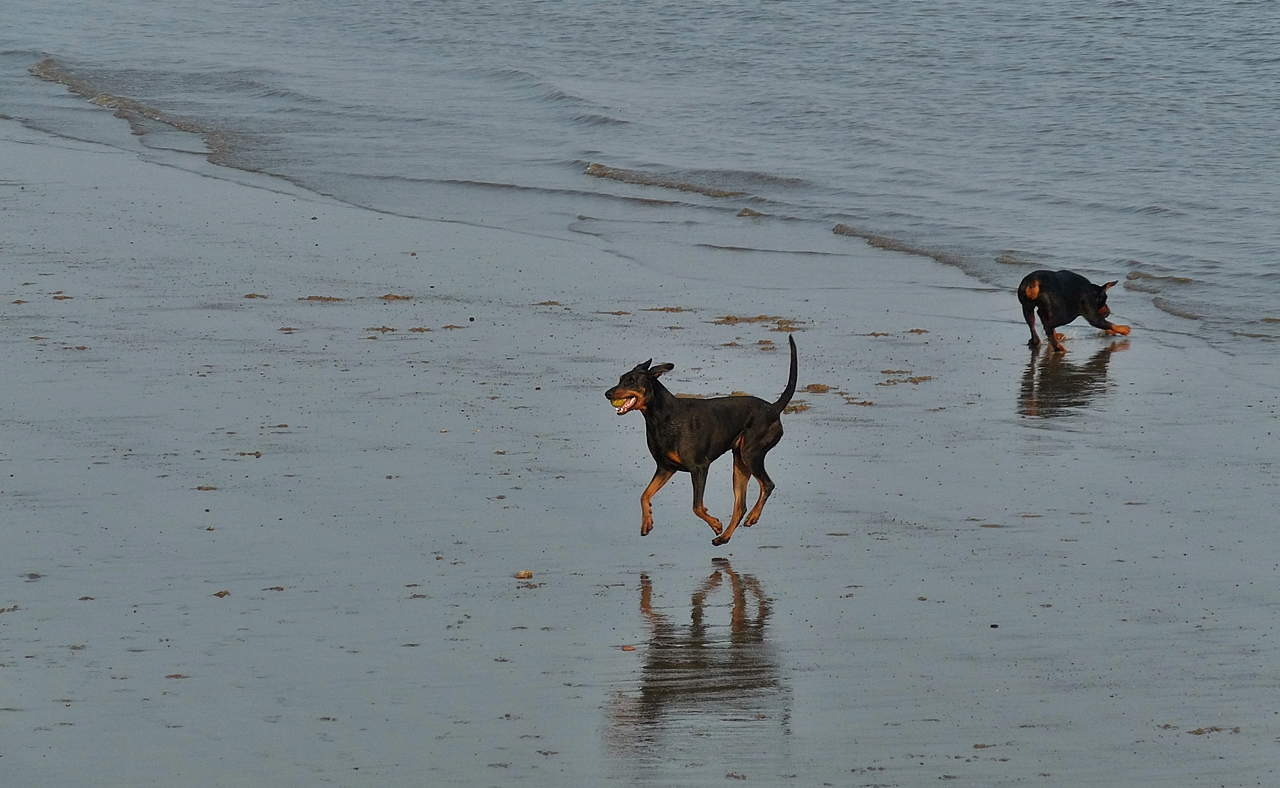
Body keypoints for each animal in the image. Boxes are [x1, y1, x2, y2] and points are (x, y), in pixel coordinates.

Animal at [604, 335, 793, 544]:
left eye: (631, 381)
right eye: (620, 379)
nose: (608, 393)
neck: (661, 417)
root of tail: (774, 409)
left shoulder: (700, 467)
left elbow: (697, 506)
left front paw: (715, 524)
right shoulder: (665, 467)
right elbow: (644, 495)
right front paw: (647, 522)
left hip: (750, 454)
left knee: (767, 484)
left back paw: (752, 517)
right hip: (740, 462)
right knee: (740, 505)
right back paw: (724, 537)